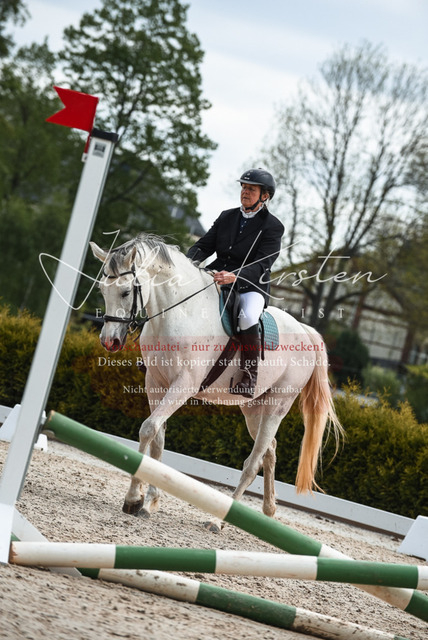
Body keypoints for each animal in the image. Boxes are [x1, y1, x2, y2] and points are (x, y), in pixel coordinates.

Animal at [90, 233, 343, 530]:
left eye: (126, 292)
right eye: (101, 290)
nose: (110, 342)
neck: (179, 313)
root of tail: (305, 331)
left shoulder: (183, 385)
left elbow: (149, 429)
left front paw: (133, 499)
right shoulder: (155, 382)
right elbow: (157, 438)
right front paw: (149, 501)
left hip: (277, 404)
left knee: (253, 463)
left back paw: (219, 520)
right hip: (253, 407)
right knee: (269, 450)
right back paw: (268, 510)